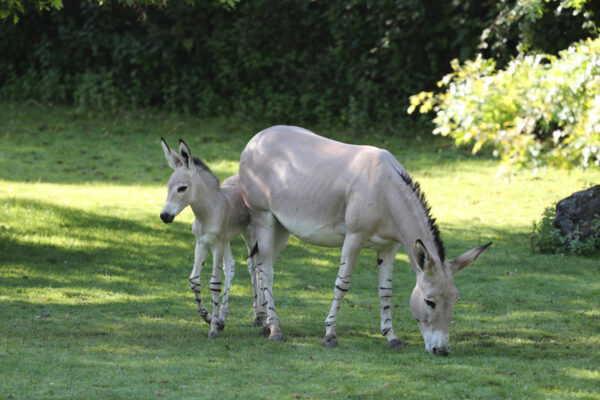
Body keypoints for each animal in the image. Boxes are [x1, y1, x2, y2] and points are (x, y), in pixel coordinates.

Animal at [161, 138, 264, 338]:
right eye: (168, 187)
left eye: (182, 188)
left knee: (254, 267)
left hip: (250, 234)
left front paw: (213, 329)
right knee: (232, 267)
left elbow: (215, 283)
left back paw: (258, 316)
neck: (208, 211)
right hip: (229, 240)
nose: (164, 216)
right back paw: (223, 318)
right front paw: (209, 317)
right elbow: (194, 280)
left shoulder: (216, 245)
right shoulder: (202, 243)